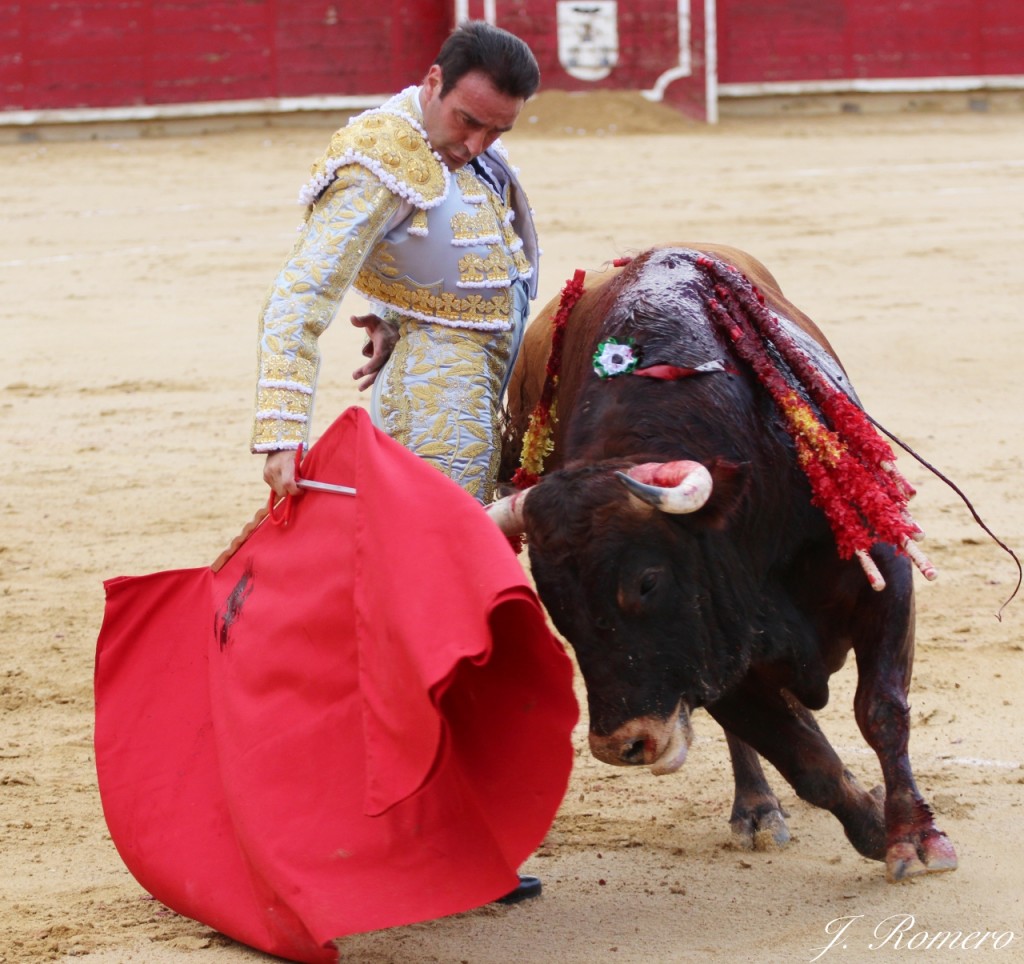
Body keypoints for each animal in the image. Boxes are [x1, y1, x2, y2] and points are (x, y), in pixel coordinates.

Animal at [491, 242, 954, 881]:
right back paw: (757, 808)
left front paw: (914, 836)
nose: (621, 745)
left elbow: (883, 711)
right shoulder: (713, 648)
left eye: (647, 581)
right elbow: (802, 759)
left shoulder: (884, 579)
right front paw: (870, 825)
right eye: (554, 603)